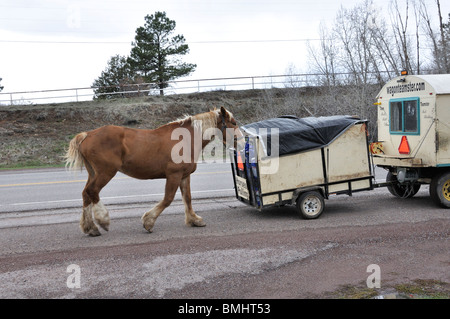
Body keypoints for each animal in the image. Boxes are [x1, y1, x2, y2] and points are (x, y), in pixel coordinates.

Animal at [65, 107, 241, 238]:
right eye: (233, 122)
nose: (241, 140)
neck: (185, 139)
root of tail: (87, 135)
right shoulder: (174, 175)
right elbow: (168, 199)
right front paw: (148, 222)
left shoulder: (184, 176)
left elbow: (188, 198)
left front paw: (194, 220)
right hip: (106, 172)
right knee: (92, 191)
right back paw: (103, 220)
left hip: (93, 173)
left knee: (86, 194)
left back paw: (90, 227)